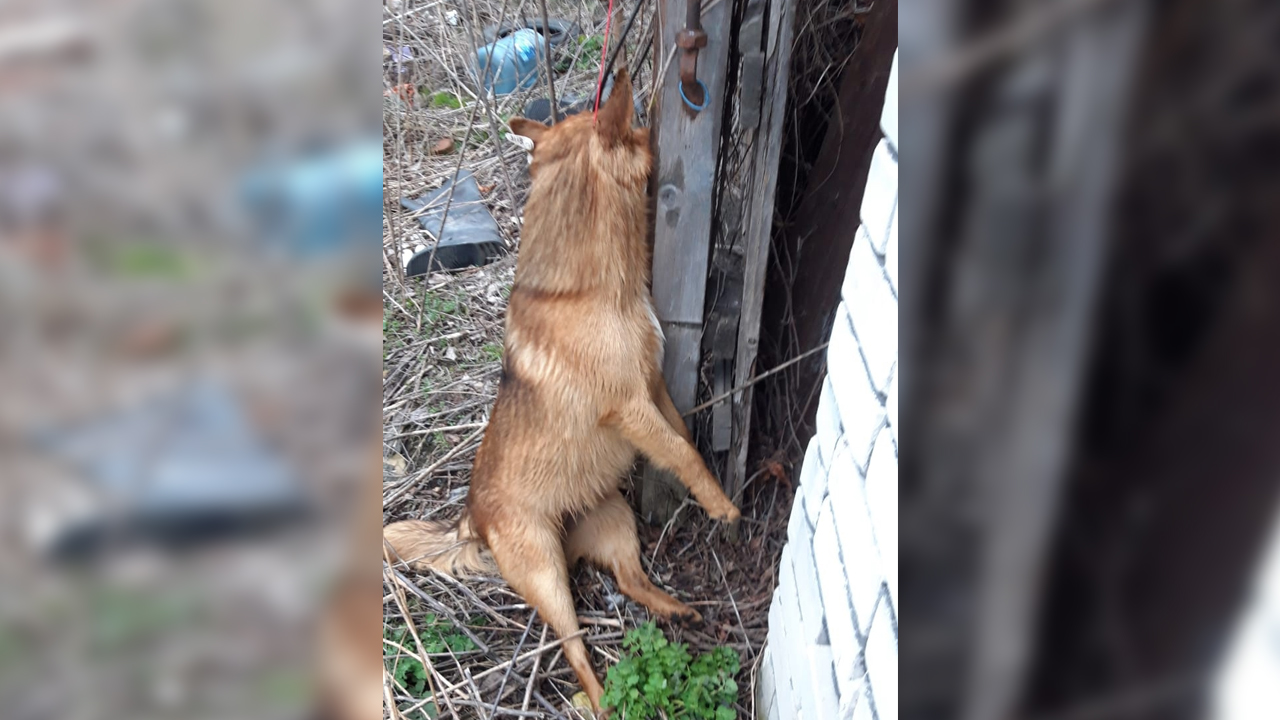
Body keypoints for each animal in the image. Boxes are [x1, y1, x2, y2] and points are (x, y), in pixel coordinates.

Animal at [378, 70, 742, 707]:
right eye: (640, 127)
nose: (653, 117)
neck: (588, 293)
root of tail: (470, 516)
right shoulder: (632, 407)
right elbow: (683, 451)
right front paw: (720, 503)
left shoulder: (654, 389)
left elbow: (684, 436)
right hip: (546, 573)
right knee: (574, 650)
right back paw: (600, 700)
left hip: (615, 520)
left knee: (630, 580)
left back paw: (675, 609)